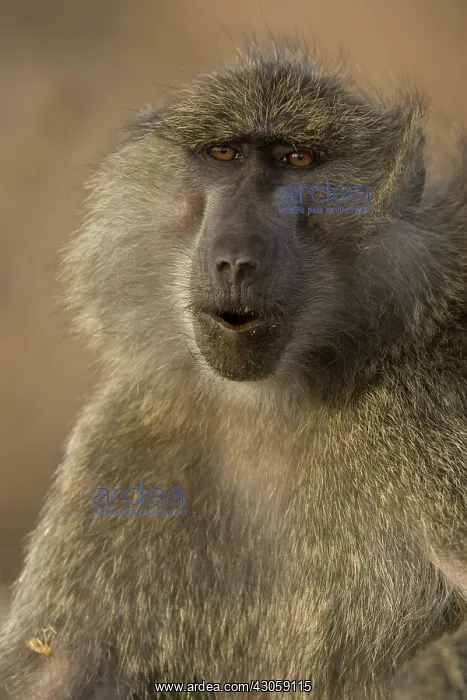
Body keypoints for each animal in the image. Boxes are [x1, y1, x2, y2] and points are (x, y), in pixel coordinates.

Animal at [0, 41, 466, 700]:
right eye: (224, 154)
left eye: (297, 159)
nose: (235, 261)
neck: (268, 402)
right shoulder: (122, 441)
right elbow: (51, 672)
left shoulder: (431, 411)